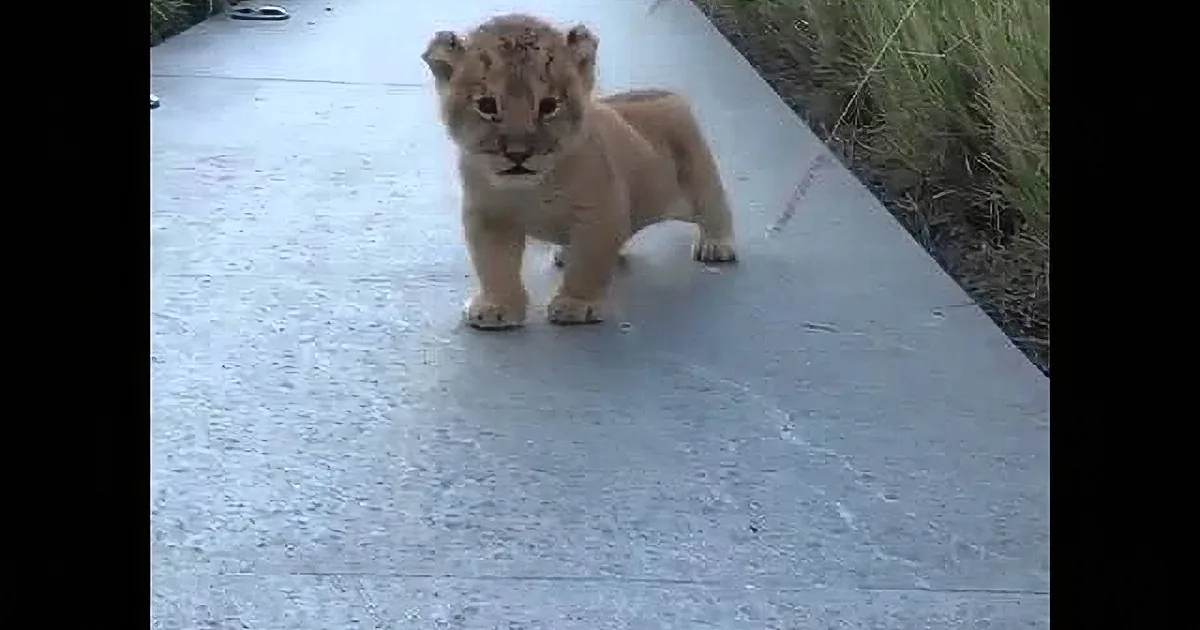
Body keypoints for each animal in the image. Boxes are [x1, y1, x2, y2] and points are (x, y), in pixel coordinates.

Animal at [421, 13, 737, 329]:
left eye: (549, 106)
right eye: (486, 105)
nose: (518, 154)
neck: (530, 189)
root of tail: (664, 91)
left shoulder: (599, 213)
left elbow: (588, 263)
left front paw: (575, 305)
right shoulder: (489, 217)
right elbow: (494, 265)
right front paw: (497, 307)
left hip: (697, 171)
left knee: (715, 207)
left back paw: (716, 246)